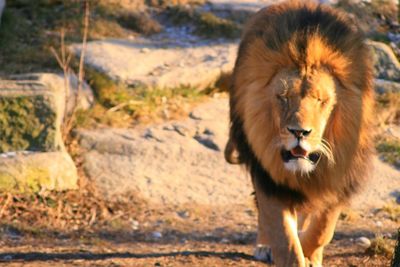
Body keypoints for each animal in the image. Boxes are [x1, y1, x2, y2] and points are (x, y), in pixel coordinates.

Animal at [225, 1, 376, 266]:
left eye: (321, 100)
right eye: (283, 97)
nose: (299, 132)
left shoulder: (338, 177)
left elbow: (323, 229)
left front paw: (311, 253)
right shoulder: (269, 178)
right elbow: (285, 238)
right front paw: (294, 252)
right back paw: (264, 245)